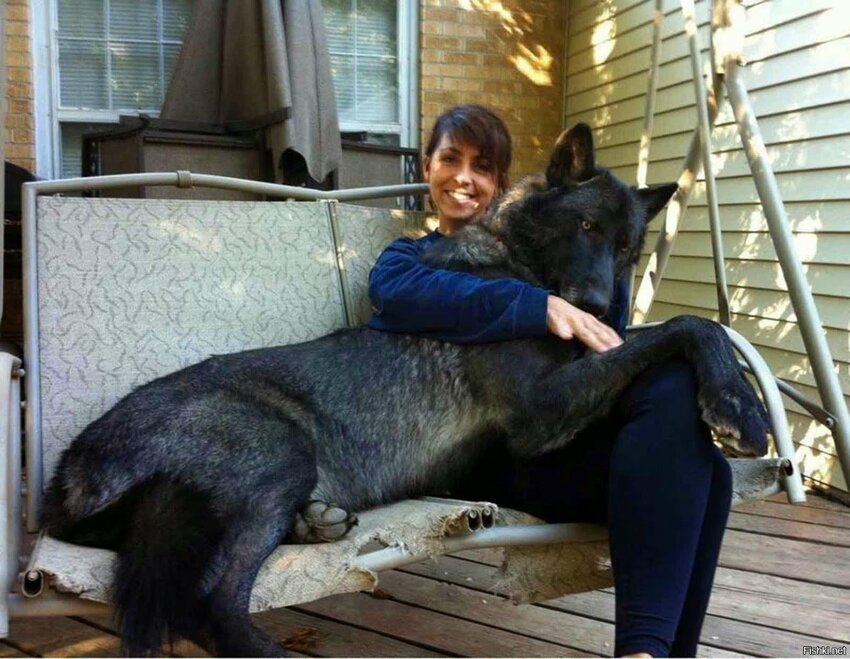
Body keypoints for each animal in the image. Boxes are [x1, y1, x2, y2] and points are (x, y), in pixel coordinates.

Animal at [43, 124, 769, 657]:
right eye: (586, 227)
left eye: (626, 248)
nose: (595, 307)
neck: (514, 263)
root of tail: (68, 473)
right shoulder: (541, 410)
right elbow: (688, 323)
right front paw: (741, 404)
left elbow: (671, 331)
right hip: (279, 453)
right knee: (208, 605)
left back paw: (315, 521)